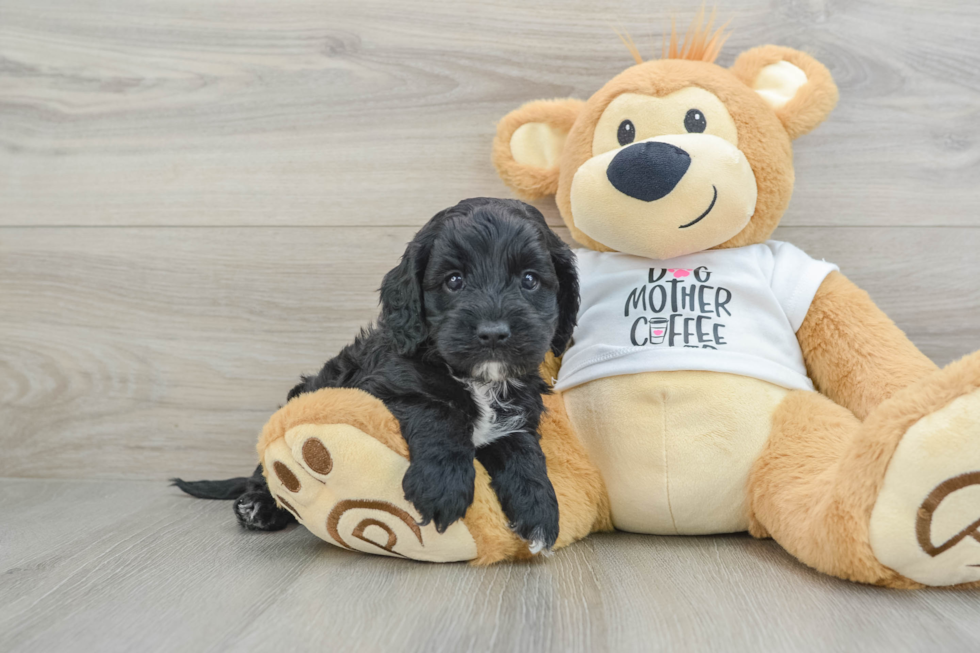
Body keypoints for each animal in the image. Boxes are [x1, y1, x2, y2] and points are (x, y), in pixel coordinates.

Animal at [173, 197, 580, 552]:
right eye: (454, 281)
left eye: (529, 280)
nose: (493, 334)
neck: (479, 380)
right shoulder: (383, 388)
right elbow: (437, 410)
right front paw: (442, 486)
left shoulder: (517, 414)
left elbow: (523, 451)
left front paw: (540, 510)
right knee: (265, 475)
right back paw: (258, 506)